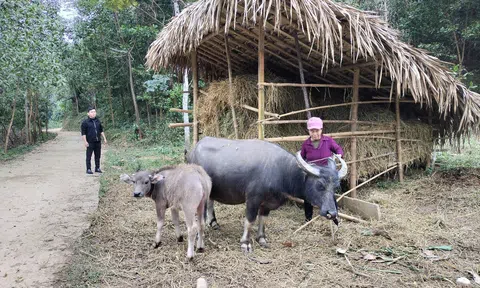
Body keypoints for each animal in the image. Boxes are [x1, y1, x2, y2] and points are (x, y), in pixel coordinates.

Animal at [186, 137, 346, 252]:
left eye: (336, 186)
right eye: (320, 185)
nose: (332, 213)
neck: (281, 171)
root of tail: (193, 149)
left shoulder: (267, 203)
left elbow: (263, 219)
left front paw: (262, 238)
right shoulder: (252, 199)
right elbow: (250, 220)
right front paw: (245, 243)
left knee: (211, 202)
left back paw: (213, 223)